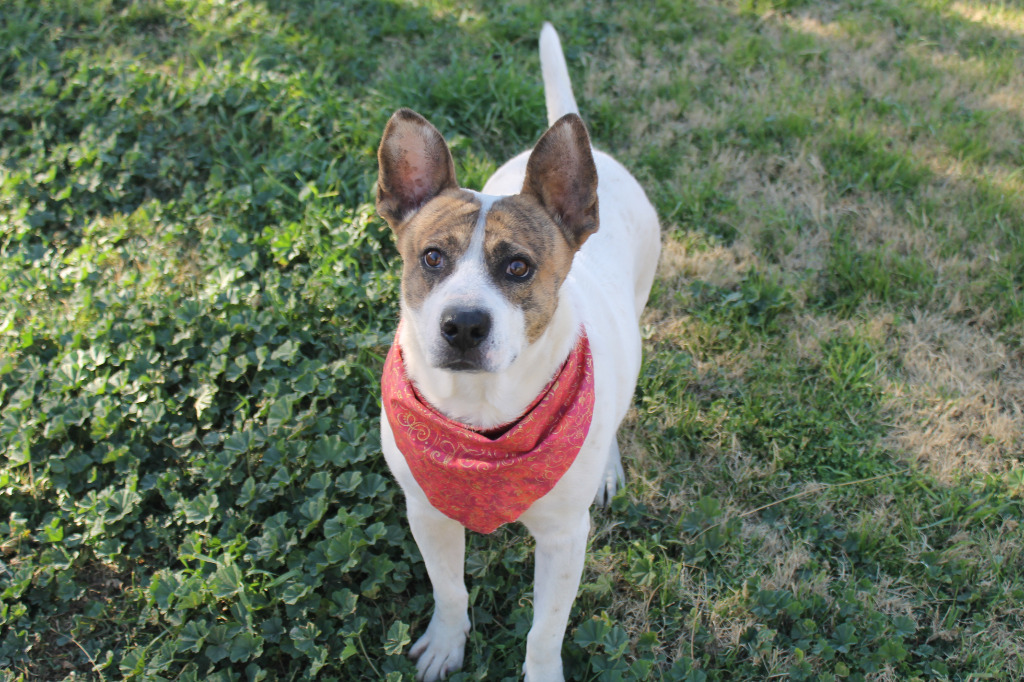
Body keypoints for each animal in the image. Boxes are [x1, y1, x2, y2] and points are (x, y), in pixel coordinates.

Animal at [378, 22, 663, 679]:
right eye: (432, 257)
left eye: (518, 267)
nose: (462, 325)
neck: (480, 415)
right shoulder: (426, 510)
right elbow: (449, 588)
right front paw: (447, 643)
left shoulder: (563, 539)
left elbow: (545, 630)